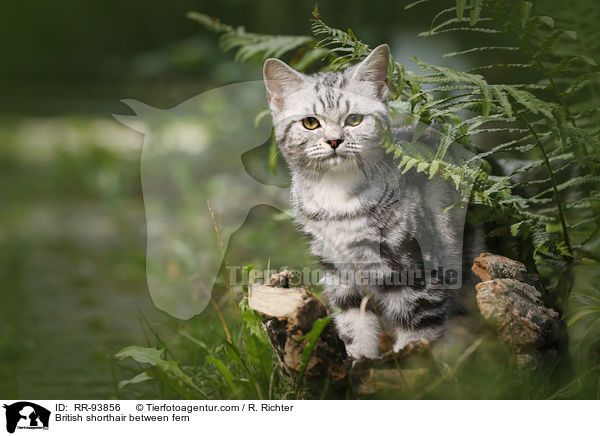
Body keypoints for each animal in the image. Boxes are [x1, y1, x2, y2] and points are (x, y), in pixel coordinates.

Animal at [262, 44, 464, 360]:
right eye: (310, 123)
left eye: (354, 119)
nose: (334, 141)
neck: (337, 198)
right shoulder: (339, 274)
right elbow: (354, 329)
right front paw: (359, 362)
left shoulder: (421, 274)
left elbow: (419, 337)